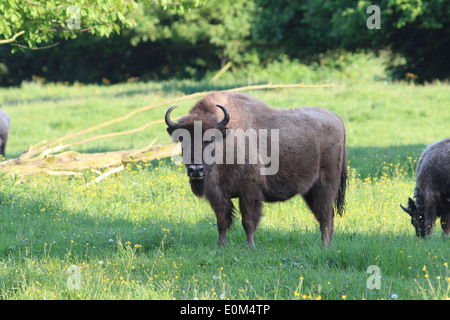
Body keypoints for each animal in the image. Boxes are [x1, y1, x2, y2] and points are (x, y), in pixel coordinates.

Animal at [165, 92, 348, 248]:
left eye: (210, 138)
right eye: (181, 138)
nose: (196, 170)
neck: (226, 139)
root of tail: (336, 118)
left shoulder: (249, 191)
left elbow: (248, 221)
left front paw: (250, 247)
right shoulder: (219, 195)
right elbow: (221, 221)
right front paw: (221, 247)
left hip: (325, 185)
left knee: (325, 216)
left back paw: (324, 246)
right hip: (310, 191)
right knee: (326, 215)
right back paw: (328, 246)